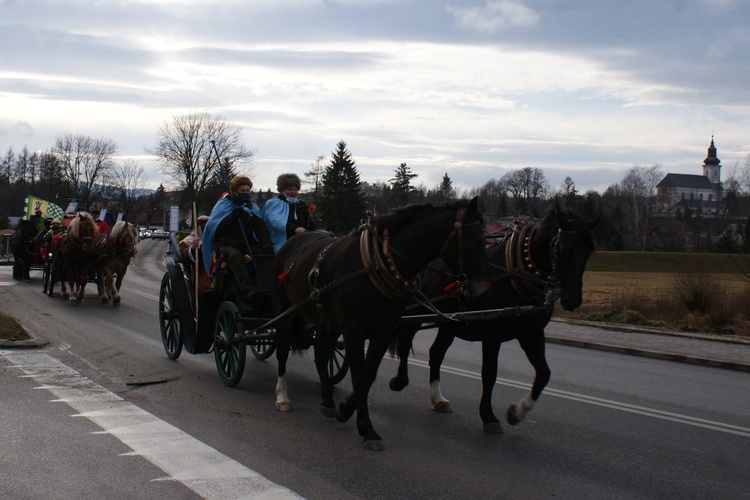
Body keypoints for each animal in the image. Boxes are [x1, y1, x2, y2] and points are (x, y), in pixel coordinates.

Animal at [270, 197, 494, 452]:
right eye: (476, 240)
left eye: (484, 240)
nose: (484, 290)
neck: (378, 265)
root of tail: (293, 241)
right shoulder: (354, 331)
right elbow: (359, 378)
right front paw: (367, 429)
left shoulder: (383, 332)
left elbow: (369, 376)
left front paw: (346, 410)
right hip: (285, 311)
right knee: (282, 350)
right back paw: (282, 396)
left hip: (330, 323)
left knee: (321, 351)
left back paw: (327, 399)